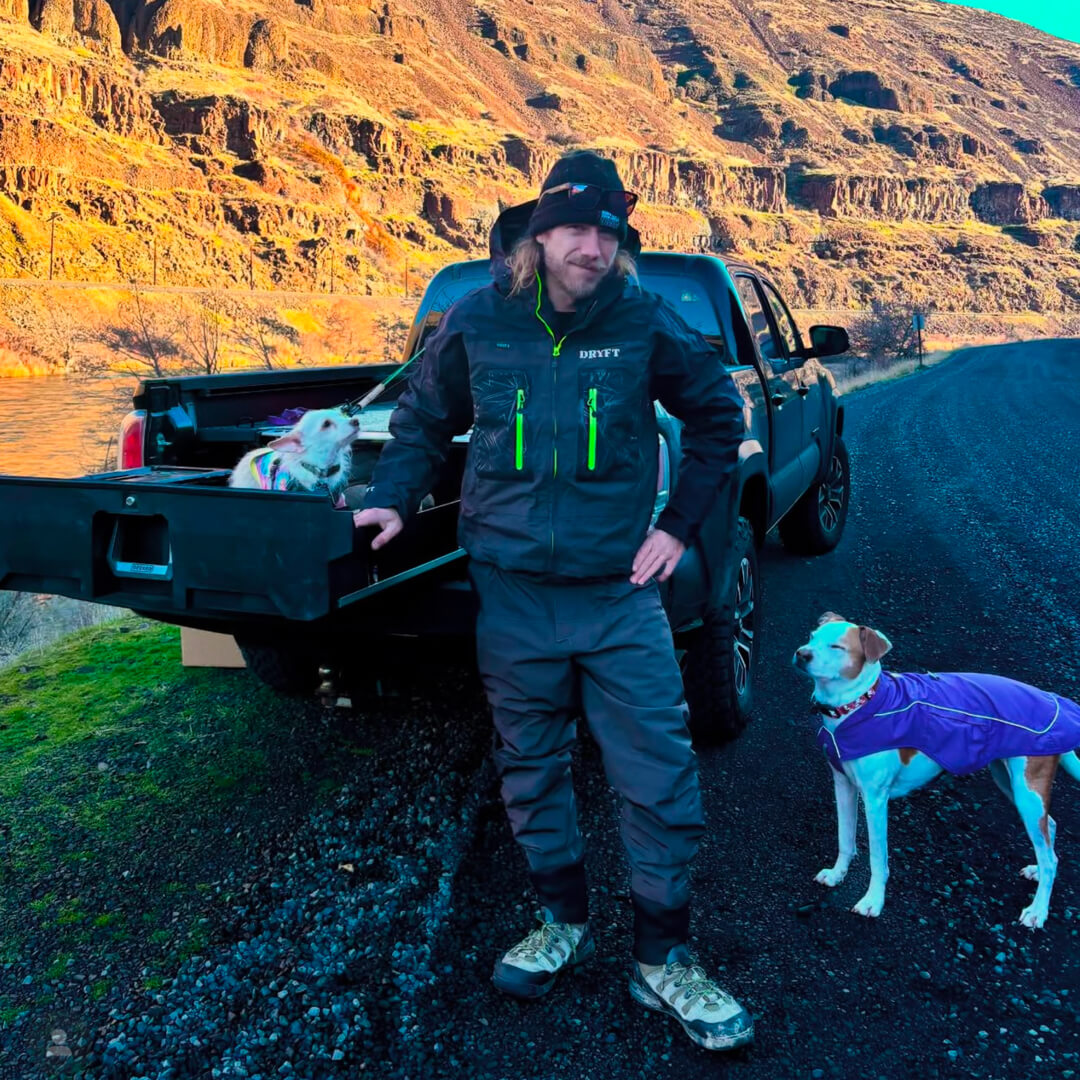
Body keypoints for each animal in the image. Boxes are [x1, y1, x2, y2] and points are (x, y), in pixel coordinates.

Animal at [790, 613, 1080, 933]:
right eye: (812, 637)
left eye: (837, 647)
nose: (802, 653)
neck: (858, 704)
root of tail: (1050, 699)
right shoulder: (843, 785)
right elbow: (845, 838)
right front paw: (837, 874)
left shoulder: (876, 799)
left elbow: (878, 857)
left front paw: (872, 901)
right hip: (1011, 783)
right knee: (1049, 829)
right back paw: (1037, 872)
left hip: (1028, 791)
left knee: (1051, 857)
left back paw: (1037, 910)